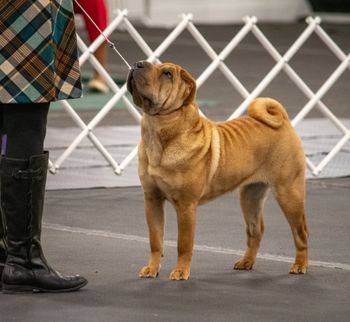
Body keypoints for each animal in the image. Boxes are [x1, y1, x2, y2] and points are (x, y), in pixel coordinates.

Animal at [127, 61, 308, 280]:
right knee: (256, 230)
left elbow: (183, 244)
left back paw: (300, 265)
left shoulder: (186, 206)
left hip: (288, 192)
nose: (138, 64)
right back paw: (246, 262)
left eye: (167, 73)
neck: (158, 132)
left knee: (301, 232)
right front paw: (151, 269)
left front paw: (180, 272)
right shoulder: (152, 199)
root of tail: (284, 121)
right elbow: (155, 240)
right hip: (250, 195)